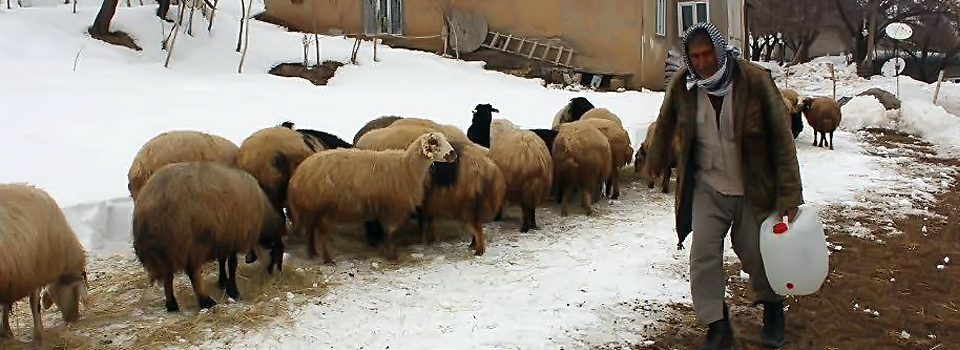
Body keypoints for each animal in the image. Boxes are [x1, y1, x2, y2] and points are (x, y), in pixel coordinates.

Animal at [0, 183, 89, 344]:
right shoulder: (36, 272)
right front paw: (39, 335)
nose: (74, 318)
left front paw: (6, 332)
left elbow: (4, 306)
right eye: (75, 290)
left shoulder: (12, 276)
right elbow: (34, 305)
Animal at [133, 161, 286, 312]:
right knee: (193, 274)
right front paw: (233, 291)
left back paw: (172, 305)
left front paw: (223, 281)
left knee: (167, 275)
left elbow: (222, 260)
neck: (262, 219)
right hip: (190, 243)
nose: (273, 275)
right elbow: (232, 265)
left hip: (167, 249)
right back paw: (205, 301)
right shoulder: (233, 238)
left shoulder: (223, 236)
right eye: (276, 252)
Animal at [284, 133, 458, 264]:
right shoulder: (394, 208)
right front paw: (392, 256)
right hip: (328, 207)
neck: (407, 167)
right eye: (434, 142)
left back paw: (312, 253)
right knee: (322, 232)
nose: (453, 154)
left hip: (313, 207)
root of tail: (300, 174)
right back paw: (328, 259)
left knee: (310, 229)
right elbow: (392, 233)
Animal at [466, 105, 556, 234]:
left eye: (488, 110)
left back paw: (525, 227)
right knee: (531, 205)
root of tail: (532, 156)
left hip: (521, 185)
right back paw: (533, 225)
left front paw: (497, 216)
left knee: (526, 206)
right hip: (537, 184)